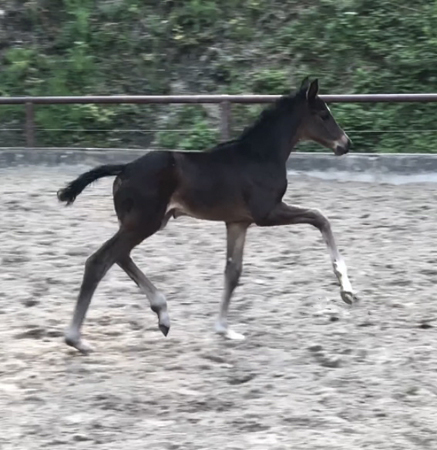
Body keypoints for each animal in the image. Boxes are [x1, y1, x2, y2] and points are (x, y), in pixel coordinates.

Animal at [58, 77, 356, 354]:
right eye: (323, 114)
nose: (346, 144)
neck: (260, 155)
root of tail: (124, 168)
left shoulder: (238, 222)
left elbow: (233, 272)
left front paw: (224, 329)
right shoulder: (267, 213)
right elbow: (320, 217)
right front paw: (347, 290)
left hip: (142, 222)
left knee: (120, 256)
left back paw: (162, 314)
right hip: (144, 222)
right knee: (100, 260)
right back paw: (76, 339)